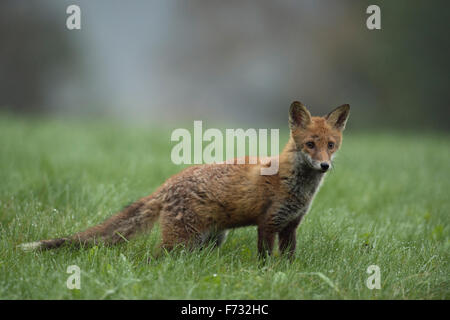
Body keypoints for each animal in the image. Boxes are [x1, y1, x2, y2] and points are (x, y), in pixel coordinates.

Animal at [19, 102, 350, 258]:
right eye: (310, 144)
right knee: (154, 259)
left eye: (331, 145)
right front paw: (267, 276)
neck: (298, 187)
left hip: (209, 239)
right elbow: (266, 259)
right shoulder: (268, 224)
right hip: (181, 239)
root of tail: (168, 182)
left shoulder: (290, 226)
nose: (324, 165)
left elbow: (289, 260)